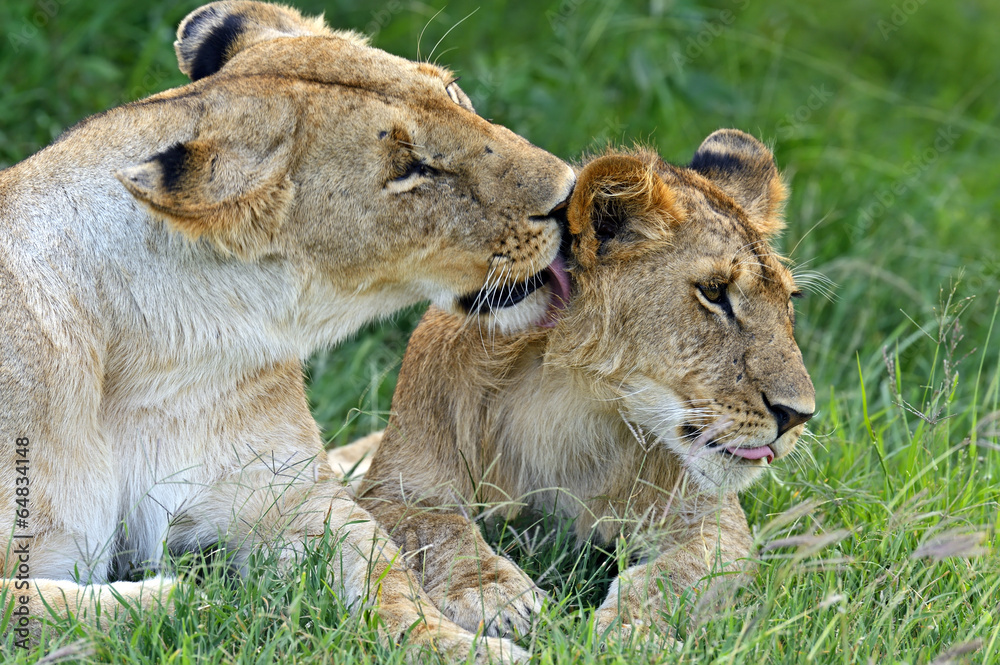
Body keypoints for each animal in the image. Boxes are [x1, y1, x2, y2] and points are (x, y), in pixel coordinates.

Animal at [0, 2, 575, 662]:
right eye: (410, 170)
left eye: (454, 93)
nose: (570, 194)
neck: (143, 346)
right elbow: (44, 607)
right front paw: (189, 592)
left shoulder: (286, 495)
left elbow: (385, 578)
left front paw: (457, 646)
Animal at [357, 131, 816, 643]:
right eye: (715, 292)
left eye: (789, 300)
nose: (799, 415)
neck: (579, 398)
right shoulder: (393, 491)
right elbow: (440, 530)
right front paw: (495, 594)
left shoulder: (715, 523)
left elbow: (676, 573)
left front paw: (631, 628)